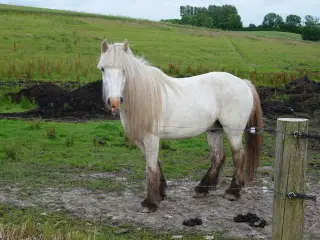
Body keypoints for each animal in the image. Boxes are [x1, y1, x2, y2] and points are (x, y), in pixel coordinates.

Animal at [97, 39, 262, 214]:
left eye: (125, 69)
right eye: (103, 69)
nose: (114, 102)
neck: (144, 95)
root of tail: (244, 83)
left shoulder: (151, 138)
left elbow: (151, 168)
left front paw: (150, 203)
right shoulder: (141, 140)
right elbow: (156, 163)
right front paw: (161, 193)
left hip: (233, 132)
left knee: (238, 156)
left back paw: (233, 192)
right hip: (214, 130)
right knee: (218, 156)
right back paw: (203, 188)